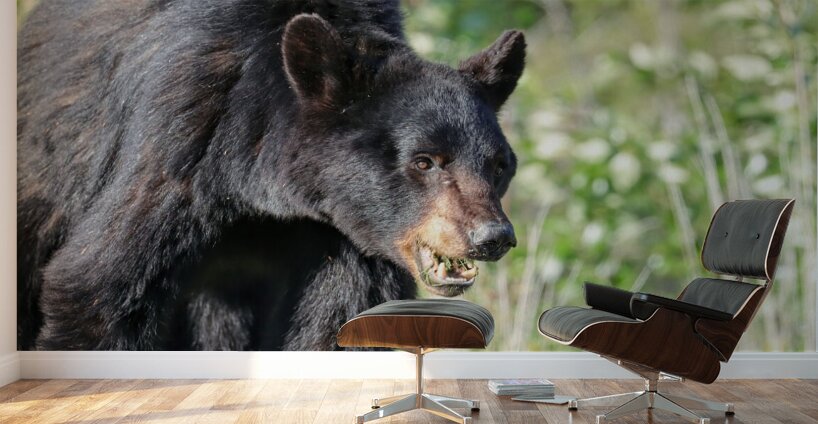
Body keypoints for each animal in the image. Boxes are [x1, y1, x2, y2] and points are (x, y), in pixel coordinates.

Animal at [17, 0, 525, 351]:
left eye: (499, 165)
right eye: (424, 161)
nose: (492, 236)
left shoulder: (342, 233)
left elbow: (343, 320)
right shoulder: (183, 141)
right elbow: (100, 285)